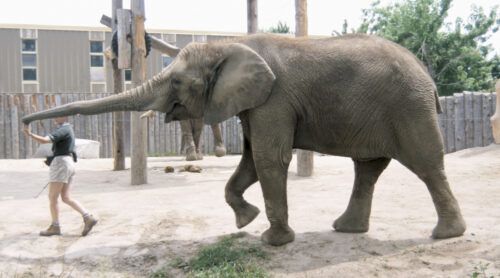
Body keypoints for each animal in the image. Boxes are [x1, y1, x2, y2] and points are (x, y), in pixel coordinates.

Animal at [23, 33, 466, 245]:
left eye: (178, 82)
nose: (28, 121)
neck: (229, 43)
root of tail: (428, 76)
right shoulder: (256, 103)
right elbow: (251, 160)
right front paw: (245, 221)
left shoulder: (274, 99)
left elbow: (270, 159)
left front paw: (273, 241)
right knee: (368, 170)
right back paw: (346, 230)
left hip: (409, 107)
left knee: (427, 165)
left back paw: (447, 235)